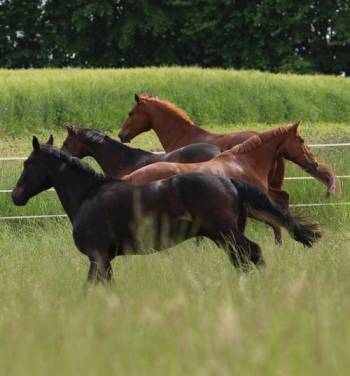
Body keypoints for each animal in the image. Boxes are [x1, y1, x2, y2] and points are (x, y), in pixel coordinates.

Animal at [12, 137, 322, 284]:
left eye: (28, 163)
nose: (15, 196)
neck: (89, 195)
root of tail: (228, 180)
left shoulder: (98, 257)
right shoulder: (104, 259)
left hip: (225, 233)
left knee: (252, 253)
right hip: (224, 235)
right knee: (242, 259)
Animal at [122, 122, 336, 242]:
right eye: (301, 140)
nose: (314, 163)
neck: (244, 163)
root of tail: (131, 177)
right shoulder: (253, 208)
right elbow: (276, 223)